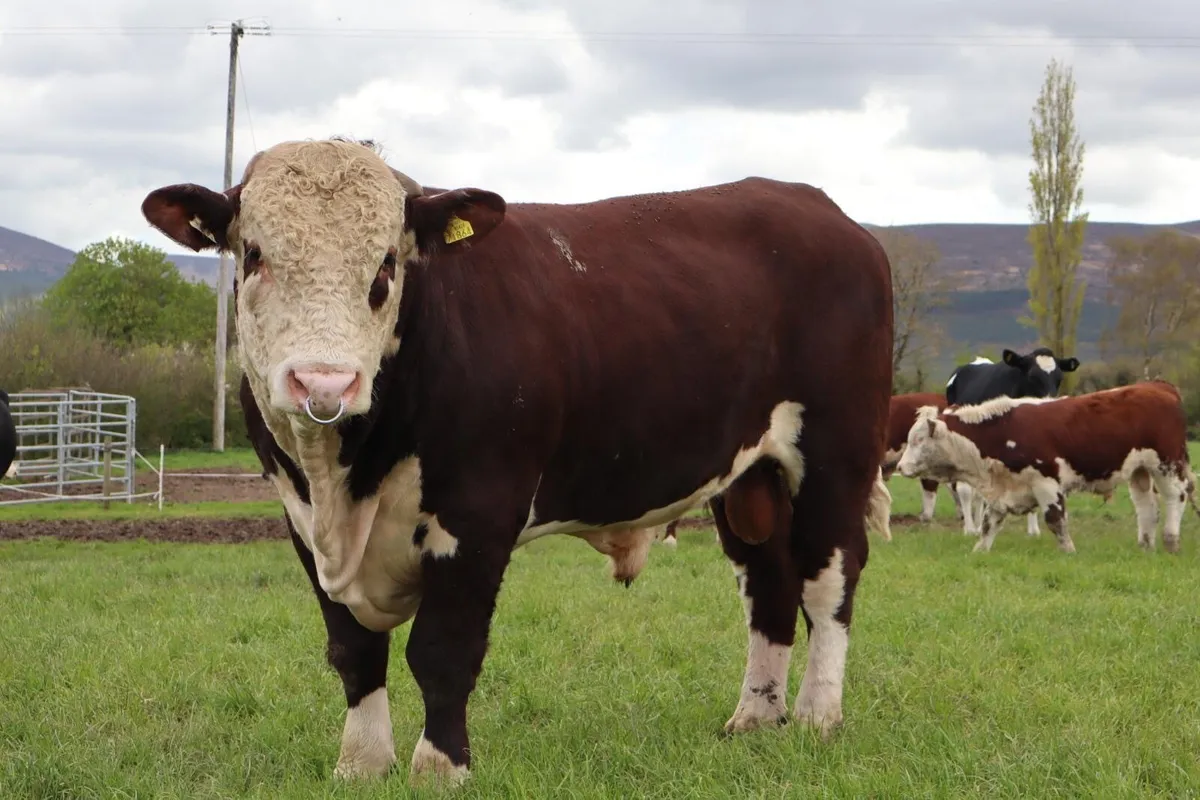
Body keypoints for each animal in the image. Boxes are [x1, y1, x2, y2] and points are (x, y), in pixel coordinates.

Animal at [140, 137, 893, 787]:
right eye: (254, 254)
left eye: (386, 264)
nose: (324, 383)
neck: (343, 480)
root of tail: (820, 208)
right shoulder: (301, 522)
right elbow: (353, 650)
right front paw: (361, 764)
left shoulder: (479, 511)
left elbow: (443, 650)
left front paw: (441, 768)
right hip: (747, 477)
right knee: (768, 583)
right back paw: (756, 716)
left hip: (836, 455)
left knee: (829, 579)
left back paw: (817, 716)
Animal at [896, 381, 1199, 554]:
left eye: (918, 440)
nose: (900, 466)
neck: (1002, 432)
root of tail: (1159, 386)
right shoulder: (1003, 489)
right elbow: (989, 523)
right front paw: (979, 551)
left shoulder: (1047, 483)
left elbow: (1055, 520)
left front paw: (1069, 551)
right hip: (1139, 471)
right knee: (1147, 506)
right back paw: (1145, 545)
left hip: (1166, 465)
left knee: (1176, 497)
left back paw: (1171, 541)